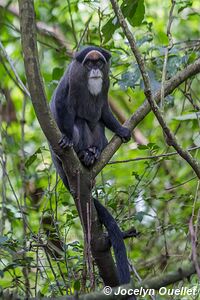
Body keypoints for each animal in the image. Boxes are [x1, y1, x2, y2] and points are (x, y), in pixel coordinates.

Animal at [49, 47, 132, 288]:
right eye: (88, 63)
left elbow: (103, 110)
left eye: (99, 62)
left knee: (97, 126)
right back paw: (83, 155)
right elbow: (62, 105)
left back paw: (94, 154)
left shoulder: (105, 87)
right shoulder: (70, 81)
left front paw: (120, 129)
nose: (95, 70)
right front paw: (68, 138)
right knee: (80, 122)